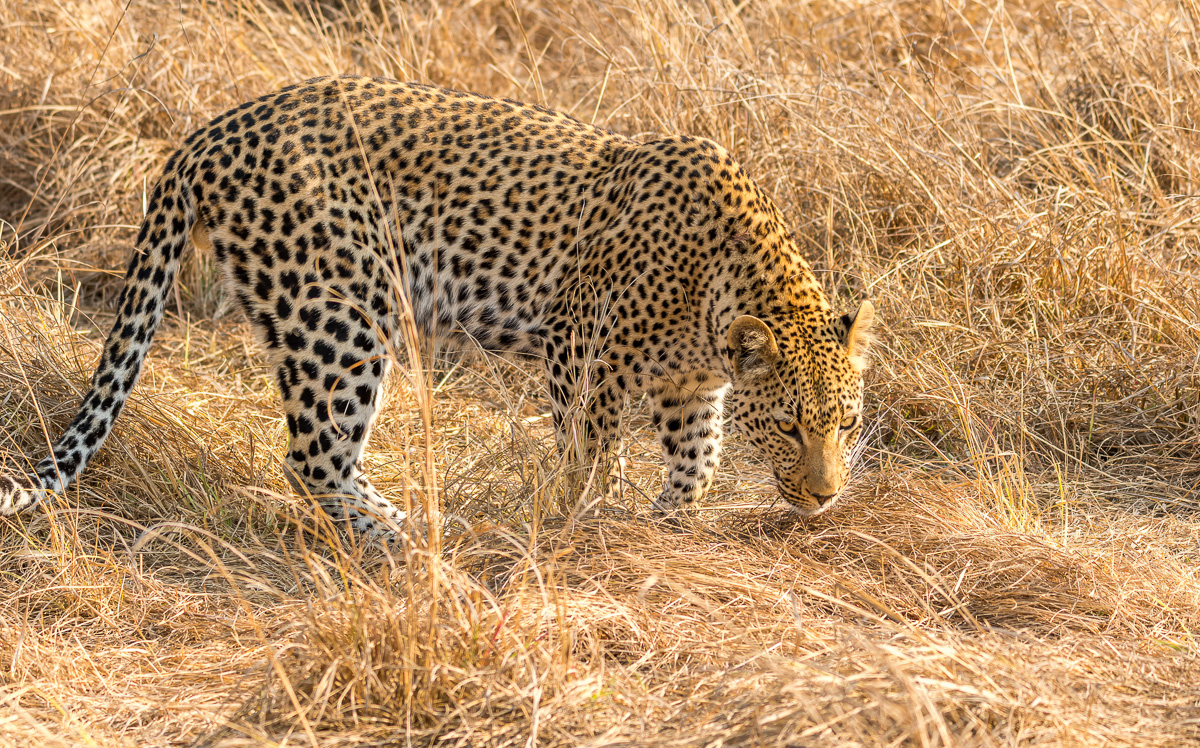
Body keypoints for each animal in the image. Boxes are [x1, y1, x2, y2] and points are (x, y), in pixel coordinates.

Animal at [0, 76, 878, 537]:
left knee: (324, 458)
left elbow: (699, 464)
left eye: (846, 423)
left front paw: (665, 529)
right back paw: (414, 538)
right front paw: (582, 525)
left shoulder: (689, 389)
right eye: (790, 427)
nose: (826, 495)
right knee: (314, 460)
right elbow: (590, 456)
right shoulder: (579, 346)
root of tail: (212, 130)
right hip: (341, 311)